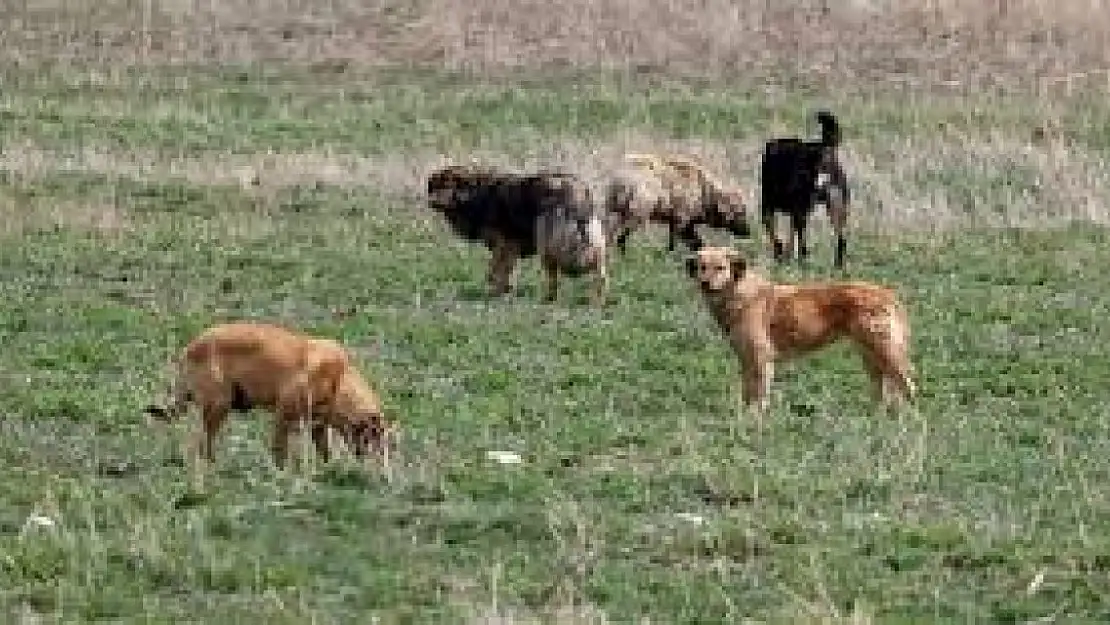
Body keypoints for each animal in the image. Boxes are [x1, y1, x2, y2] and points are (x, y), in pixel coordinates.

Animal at [145, 321, 392, 470]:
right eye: (377, 440)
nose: (382, 471)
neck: (338, 379)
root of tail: (189, 348)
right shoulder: (283, 416)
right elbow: (279, 452)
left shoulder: (318, 427)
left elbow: (324, 453)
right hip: (218, 407)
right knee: (204, 446)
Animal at [426, 164, 612, 306]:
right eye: (434, 186)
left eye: (447, 185)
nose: (432, 201)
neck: (473, 195)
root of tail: (578, 191)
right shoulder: (509, 247)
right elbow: (507, 270)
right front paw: (505, 291)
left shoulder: (504, 243)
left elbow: (497, 270)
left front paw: (498, 292)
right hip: (594, 240)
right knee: (600, 273)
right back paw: (597, 301)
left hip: (546, 240)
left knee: (555, 275)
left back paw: (549, 299)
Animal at [688, 247, 914, 412]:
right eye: (702, 267)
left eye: (720, 267)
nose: (705, 283)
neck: (739, 294)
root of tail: (887, 294)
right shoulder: (746, 360)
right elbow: (747, 394)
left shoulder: (761, 359)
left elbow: (759, 397)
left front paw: (756, 421)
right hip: (870, 355)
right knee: (883, 390)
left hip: (885, 352)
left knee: (908, 386)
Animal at [759, 112, 852, 268]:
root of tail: (825, 149)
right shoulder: (797, 211)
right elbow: (791, 236)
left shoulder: (771, 207)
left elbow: (780, 237)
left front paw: (783, 256)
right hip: (837, 206)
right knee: (841, 237)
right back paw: (837, 265)